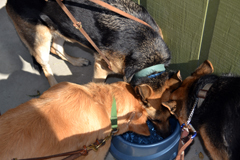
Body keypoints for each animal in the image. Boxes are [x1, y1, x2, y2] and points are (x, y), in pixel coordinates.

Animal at [6, 0, 171, 87]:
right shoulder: (102, 67)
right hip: (41, 41)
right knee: (46, 66)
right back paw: (54, 85)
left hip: (64, 28)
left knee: (56, 48)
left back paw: (77, 61)